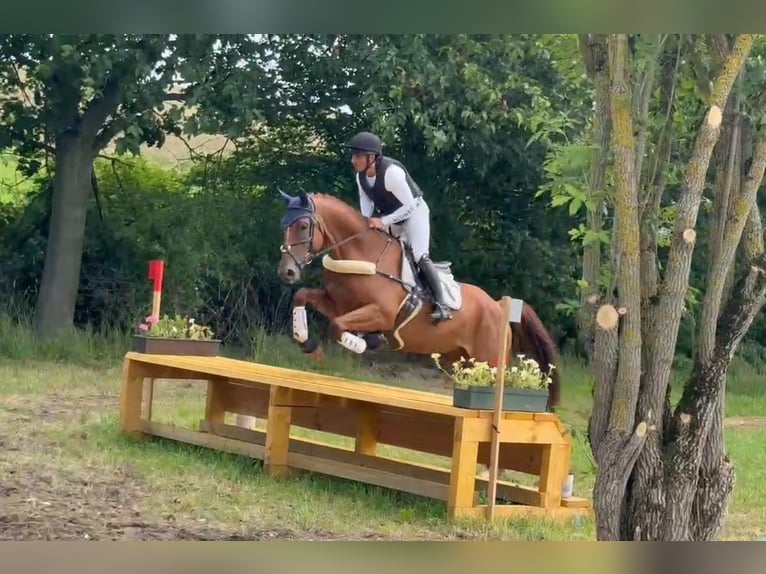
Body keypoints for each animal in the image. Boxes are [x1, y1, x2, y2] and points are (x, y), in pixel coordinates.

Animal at [276, 190, 564, 410]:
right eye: (284, 225)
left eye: (303, 226)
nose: (286, 272)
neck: (360, 254)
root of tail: (497, 305)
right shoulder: (336, 304)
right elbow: (303, 297)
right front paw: (308, 344)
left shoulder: (381, 314)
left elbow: (338, 327)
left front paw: (364, 342)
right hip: (462, 360)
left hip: (491, 361)